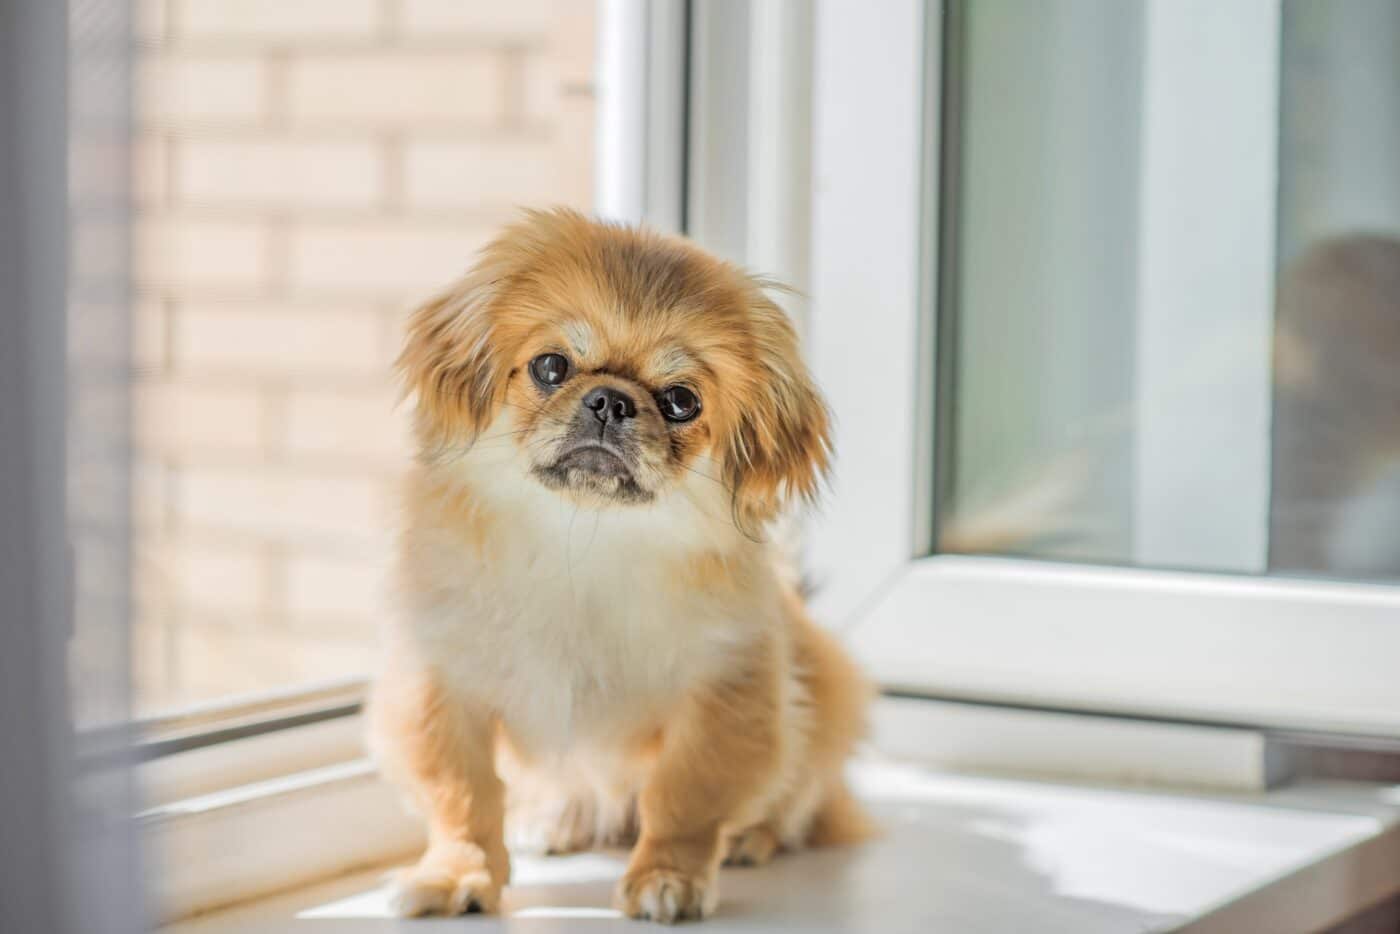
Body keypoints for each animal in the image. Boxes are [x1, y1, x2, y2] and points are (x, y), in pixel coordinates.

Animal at [372, 208, 873, 924]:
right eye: (552, 366)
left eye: (682, 401)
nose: (610, 399)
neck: (584, 546)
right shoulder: (442, 682)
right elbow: (461, 798)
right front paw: (456, 875)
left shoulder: (723, 693)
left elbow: (685, 798)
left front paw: (669, 877)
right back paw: (553, 819)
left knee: (797, 803)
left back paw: (750, 838)